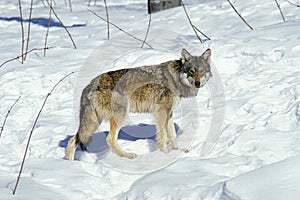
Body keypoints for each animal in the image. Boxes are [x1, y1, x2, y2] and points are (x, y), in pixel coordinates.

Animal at [66, 48, 211, 159]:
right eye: (191, 71)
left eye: (202, 71)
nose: (198, 83)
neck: (176, 78)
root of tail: (89, 85)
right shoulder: (161, 112)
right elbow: (163, 136)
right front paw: (165, 155)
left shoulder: (169, 113)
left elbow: (172, 134)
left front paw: (176, 151)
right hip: (119, 115)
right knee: (109, 139)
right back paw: (128, 156)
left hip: (94, 122)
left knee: (72, 141)